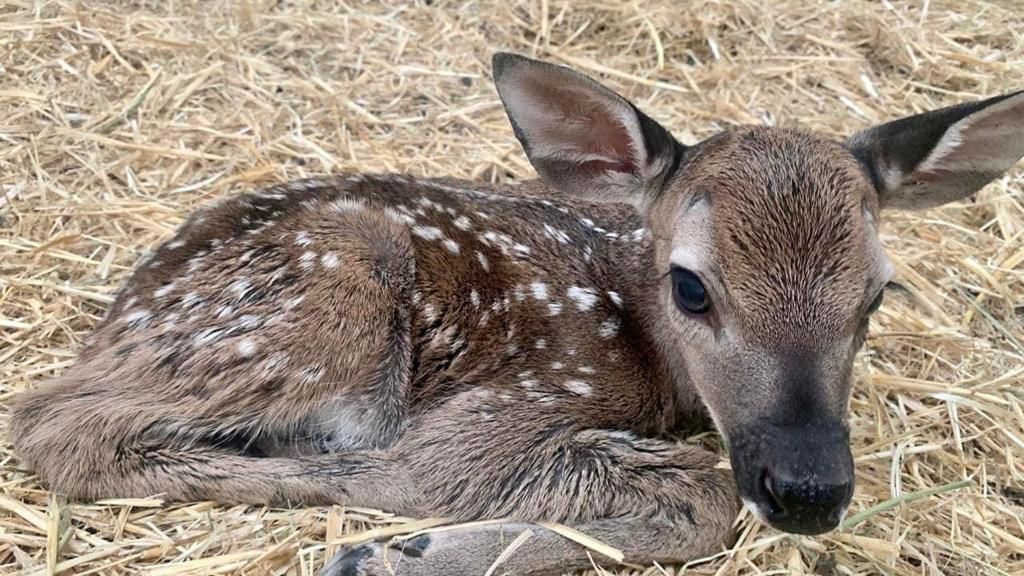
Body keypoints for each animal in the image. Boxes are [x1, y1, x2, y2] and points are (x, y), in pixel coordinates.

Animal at [9, 51, 1024, 569]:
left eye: (878, 293)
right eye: (692, 285)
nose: (809, 487)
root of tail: (122, 311)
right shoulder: (517, 397)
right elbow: (699, 498)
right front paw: (403, 551)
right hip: (326, 300)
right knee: (57, 424)